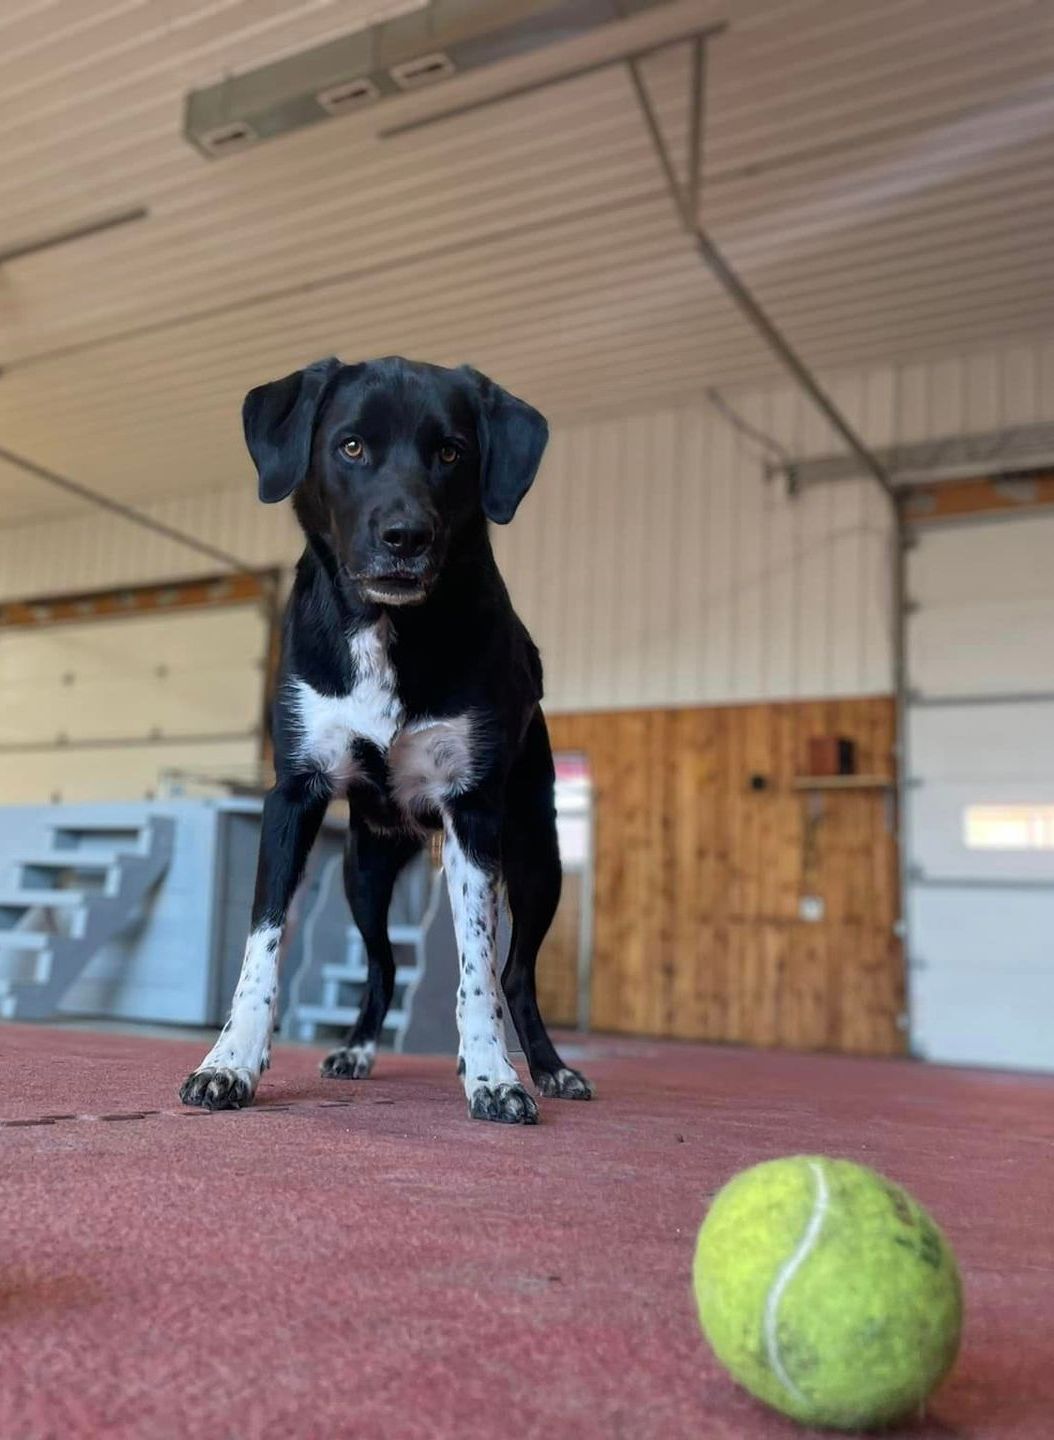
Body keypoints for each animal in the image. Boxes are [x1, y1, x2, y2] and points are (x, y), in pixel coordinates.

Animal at [181, 357, 593, 1123]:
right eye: (351, 447)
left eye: (452, 453)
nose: (406, 536)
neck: (385, 626)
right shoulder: (294, 795)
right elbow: (261, 945)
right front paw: (228, 1063)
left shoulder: (472, 812)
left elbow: (476, 968)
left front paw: (494, 1075)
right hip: (363, 869)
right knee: (384, 962)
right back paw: (357, 1050)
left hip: (536, 856)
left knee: (514, 972)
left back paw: (550, 1068)